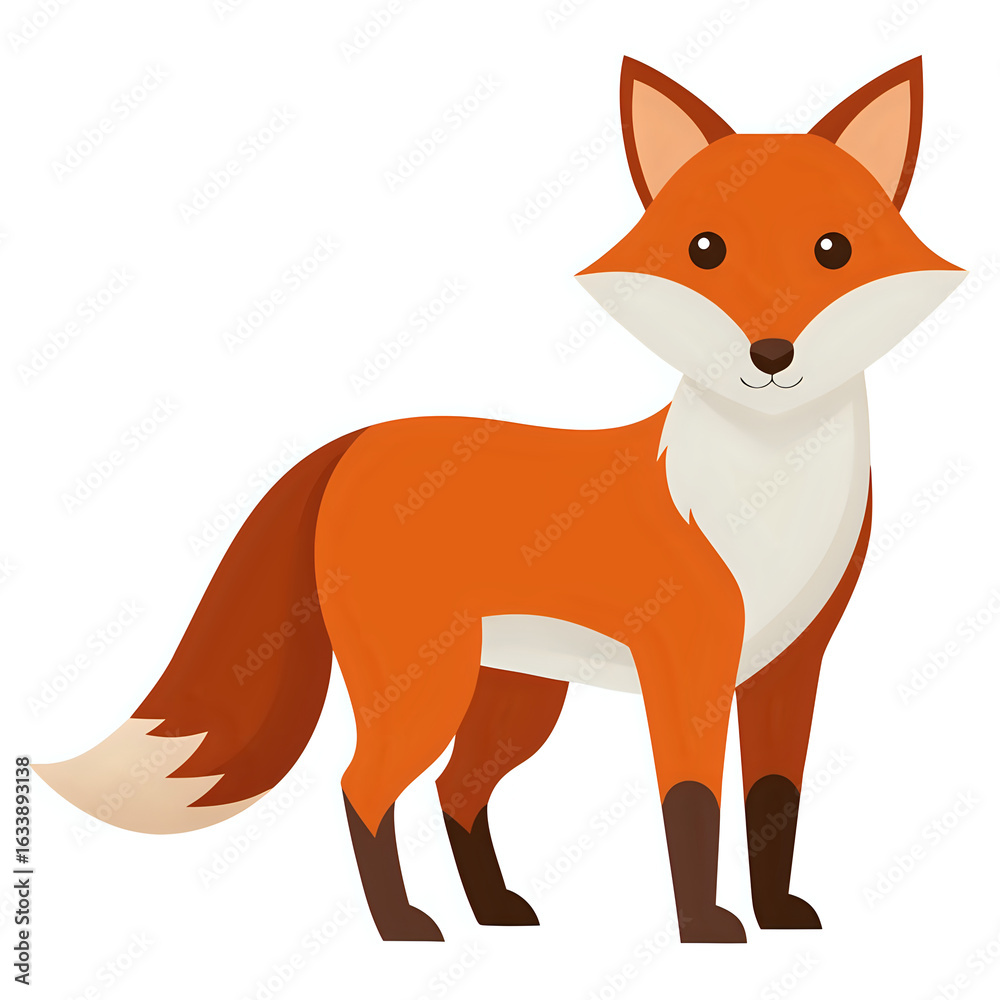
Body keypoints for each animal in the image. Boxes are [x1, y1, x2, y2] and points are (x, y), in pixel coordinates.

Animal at [36, 56, 965, 943]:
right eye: (706, 250)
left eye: (834, 250)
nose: (770, 354)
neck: (763, 497)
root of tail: (352, 445)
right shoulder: (687, 666)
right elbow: (691, 809)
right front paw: (706, 933)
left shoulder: (788, 667)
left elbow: (775, 805)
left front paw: (776, 918)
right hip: (430, 687)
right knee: (363, 786)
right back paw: (403, 928)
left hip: (515, 697)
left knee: (457, 790)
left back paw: (494, 911)